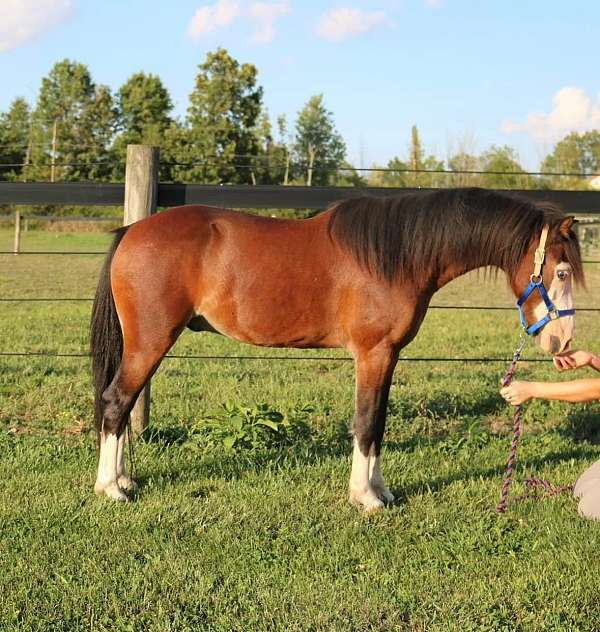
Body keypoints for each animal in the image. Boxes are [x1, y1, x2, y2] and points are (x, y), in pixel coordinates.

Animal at [89, 186, 580, 508]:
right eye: (561, 271)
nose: (564, 341)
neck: (396, 255)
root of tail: (133, 230)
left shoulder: (389, 355)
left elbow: (378, 422)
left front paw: (380, 490)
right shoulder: (372, 353)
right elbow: (365, 422)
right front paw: (365, 498)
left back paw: (124, 481)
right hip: (149, 343)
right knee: (116, 402)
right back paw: (110, 488)